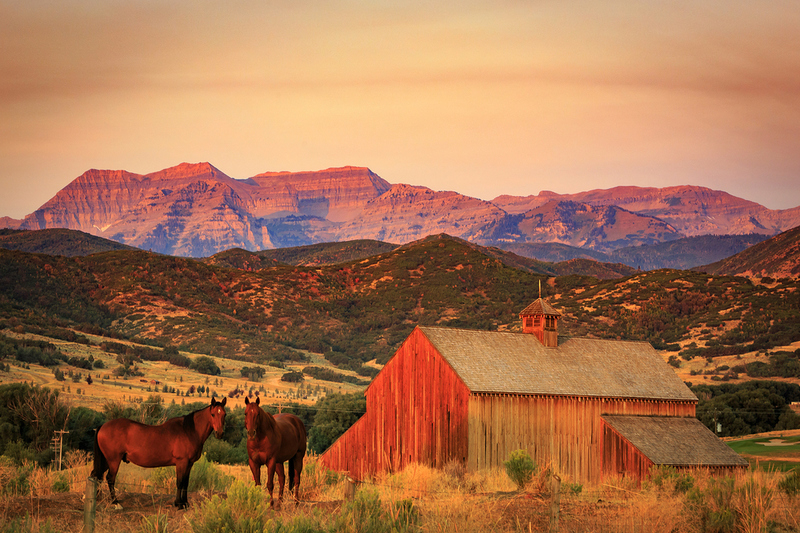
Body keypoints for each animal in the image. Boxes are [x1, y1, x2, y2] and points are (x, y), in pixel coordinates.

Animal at [92, 400, 228, 508]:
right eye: (213, 414)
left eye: (224, 414)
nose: (219, 433)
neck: (189, 431)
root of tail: (103, 426)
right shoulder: (182, 462)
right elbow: (179, 482)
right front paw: (178, 504)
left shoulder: (189, 464)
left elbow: (186, 483)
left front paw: (185, 503)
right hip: (113, 460)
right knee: (110, 478)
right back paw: (115, 502)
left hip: (107, 460)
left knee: (96, 475)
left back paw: (97, 498)